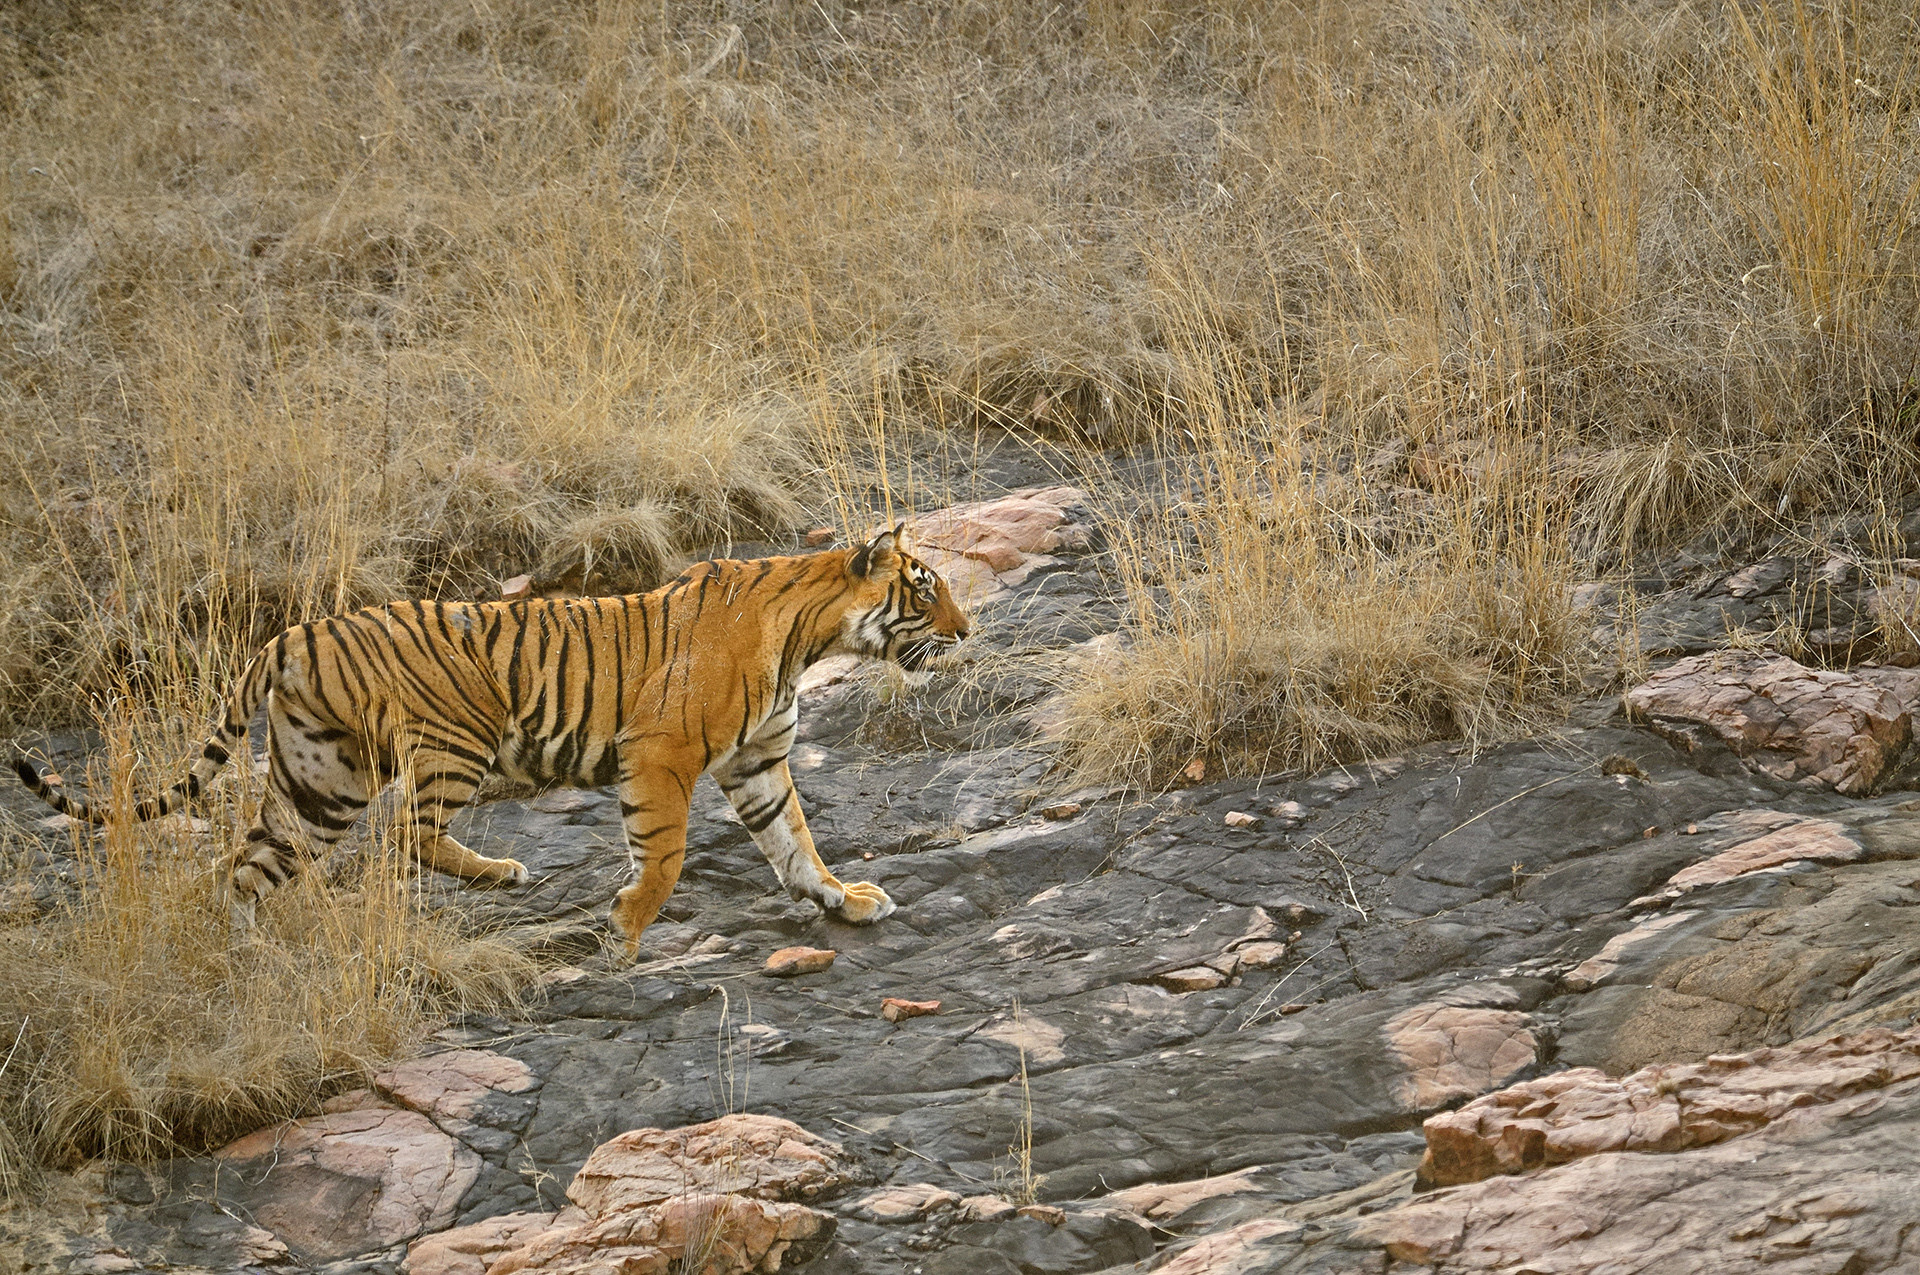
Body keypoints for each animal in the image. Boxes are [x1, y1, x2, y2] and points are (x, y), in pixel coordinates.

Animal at [13, 522, 967, 952]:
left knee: (247, 866)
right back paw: (504, 872)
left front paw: (843, 898)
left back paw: (245, 948)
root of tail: (287, 635)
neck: (807, 637)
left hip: (319, 783)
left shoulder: (760, 759)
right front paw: (626, 927)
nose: (969, 630)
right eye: (926, 589)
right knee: (406, 833)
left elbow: (794, 841)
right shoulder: (660, 753)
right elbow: (663, 853)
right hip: (450, 740)